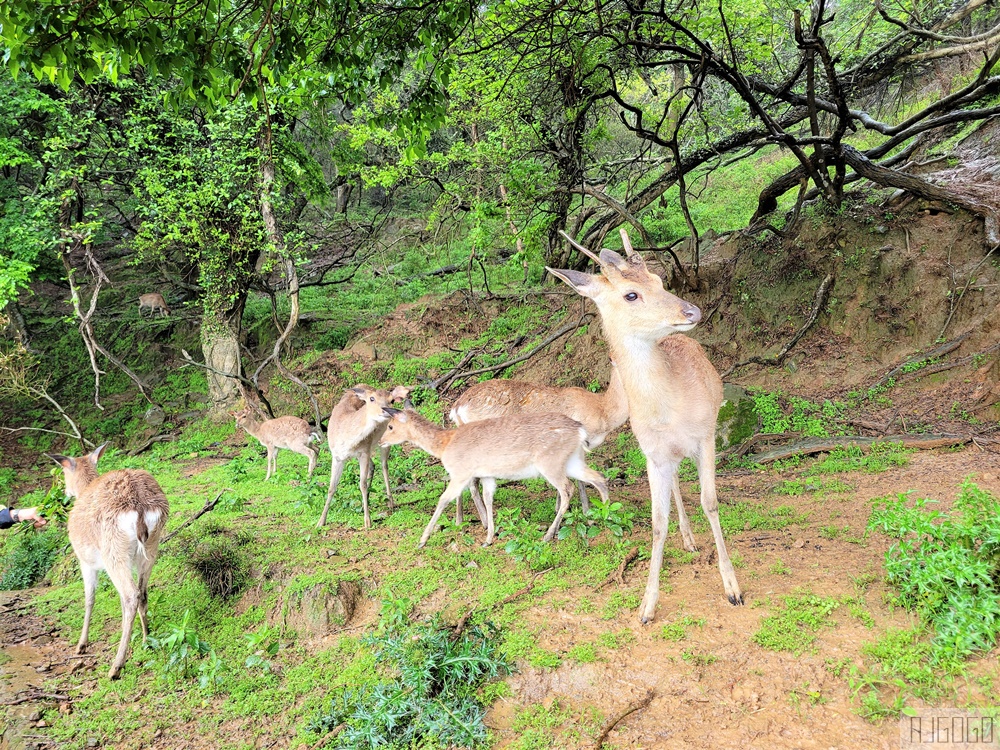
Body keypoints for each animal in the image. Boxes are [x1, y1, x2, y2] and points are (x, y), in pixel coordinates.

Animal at [45, 444, 169, 684]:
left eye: (63, 473)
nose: (65, 494)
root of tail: (140, 506)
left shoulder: (84, 560)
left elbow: (89, 599)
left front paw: (81, 645)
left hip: (113, 550)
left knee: (131, 595)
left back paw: (116, 667)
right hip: (152, 546)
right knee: (142, 592)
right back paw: (146, 640)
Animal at [320, 388, 414, 528]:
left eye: (391, 400)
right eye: (372, 398)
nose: (386, 410)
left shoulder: (363, 452)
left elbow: (362, 484)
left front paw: (367, 521)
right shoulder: (336, 455)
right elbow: (332, 487)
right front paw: (321, 521)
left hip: (385, 441)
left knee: (384, 465)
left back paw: (390, 502)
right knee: (373, 466)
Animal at [378, 408, 608, 548]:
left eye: (390, 426)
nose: (380, 441)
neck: (444, 445)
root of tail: (580, 430)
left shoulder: (461, 472)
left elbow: (443, 500)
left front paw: (422, 540)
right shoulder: (487, 475)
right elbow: (488, 499)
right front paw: (488, 538)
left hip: (550, 461)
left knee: (567, 489)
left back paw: (548, 535)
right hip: (573, 460)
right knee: (599, 477)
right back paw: (607, 516)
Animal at [548, 229, 744, 624]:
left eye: (659, 279)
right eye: (631, 294)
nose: (691, 311)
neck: (670, 410)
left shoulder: (707, 436)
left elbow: (711, 503)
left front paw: (732, 588)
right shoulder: (653, 454)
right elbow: (657, 521)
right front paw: (646, 606)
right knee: (676, 486)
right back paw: (687, 537)